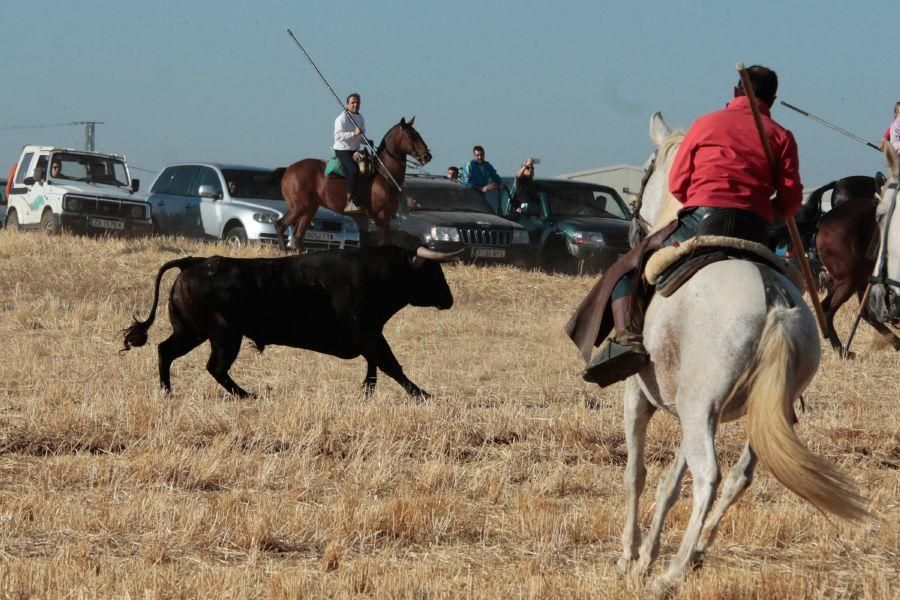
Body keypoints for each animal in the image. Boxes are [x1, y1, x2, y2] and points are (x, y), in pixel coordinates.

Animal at [119, 246, 454, 400]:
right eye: (433, 272)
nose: (449, 300)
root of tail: (194, 262)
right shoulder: (368, 334)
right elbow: (390, 365)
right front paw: (422, 394)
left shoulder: (369, 335)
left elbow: (376, 365)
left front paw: (368, 391)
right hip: (223, 336)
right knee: (215, 367)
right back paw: (247, 395)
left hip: (192, 332)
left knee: (166, 351)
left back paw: (167, 391)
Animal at [272, 117, 430, 251]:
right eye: (411, 135)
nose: (427, 155)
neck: (384, 174)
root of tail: (288, 170)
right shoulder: (381, 217)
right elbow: (384, 242)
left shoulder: (386, 219)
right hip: (299, 206)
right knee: (280, 226)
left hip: (310, 208)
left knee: (298, 236)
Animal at [612, 111, 864, 592]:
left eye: (649, 168)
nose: (632, 226)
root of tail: (773, 301)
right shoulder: (693, 409)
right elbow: (670, 483)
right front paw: (648, 553)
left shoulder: (641, 395)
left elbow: (637, 474)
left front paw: (631, 555)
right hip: (757, 411)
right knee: (738, 476)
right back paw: (694, 552)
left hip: (701, 409)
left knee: (709, 476)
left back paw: (673, 573)